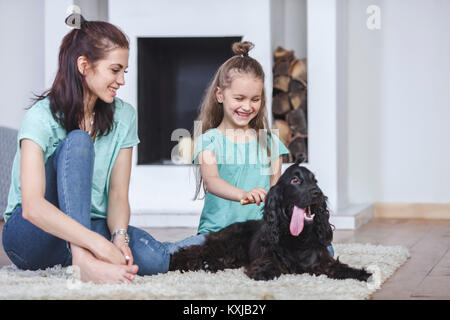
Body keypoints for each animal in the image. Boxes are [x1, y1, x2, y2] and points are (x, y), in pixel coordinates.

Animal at [170, 161, 372, 282]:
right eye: (295, 180)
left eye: (315, 181)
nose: (318, 193)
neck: (297, 238)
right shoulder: (267, 256)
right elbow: (268, 263)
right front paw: (264, 271)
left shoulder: (321, 261)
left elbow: (338, 267)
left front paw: (362, 273)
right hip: (227, 244)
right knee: (192, 250)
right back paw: (178, 261)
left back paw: (209, 264)